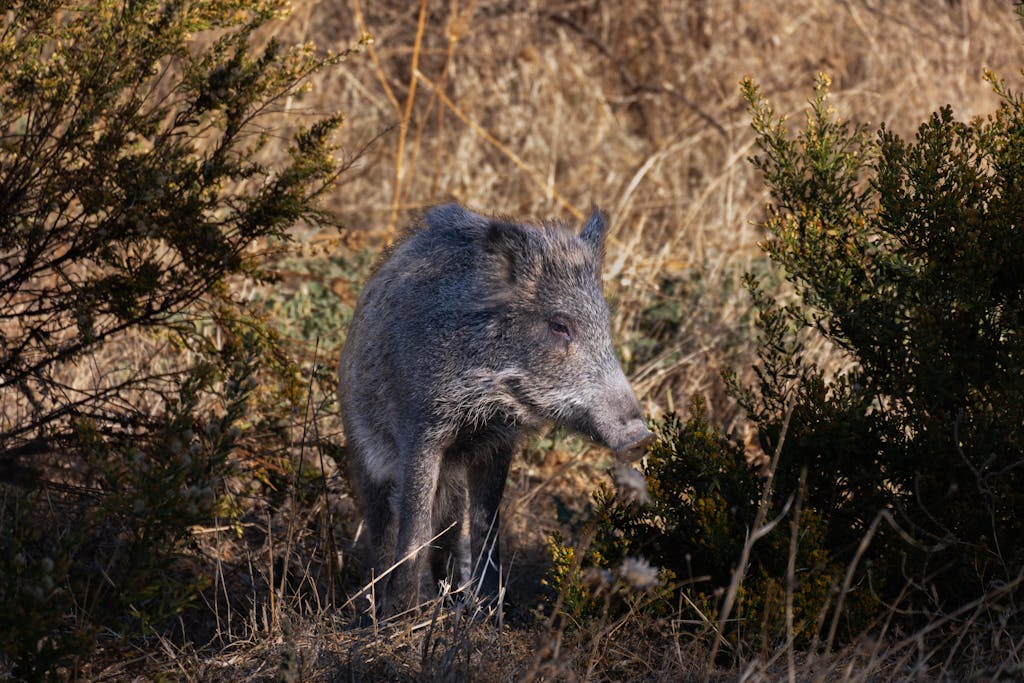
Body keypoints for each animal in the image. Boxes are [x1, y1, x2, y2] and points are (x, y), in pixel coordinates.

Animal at [338, 203, 653, 617]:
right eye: (559, 325)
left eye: (605, 327)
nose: (641, 437)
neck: (486, 397)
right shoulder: (421, 430)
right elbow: (415, 527)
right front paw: (402, 614)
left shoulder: (497, 443)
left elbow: (487, 525)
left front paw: (488, 612)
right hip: (366, 458)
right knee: (384, 530)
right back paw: (376, 607)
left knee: (449, 533)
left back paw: (451, 598)